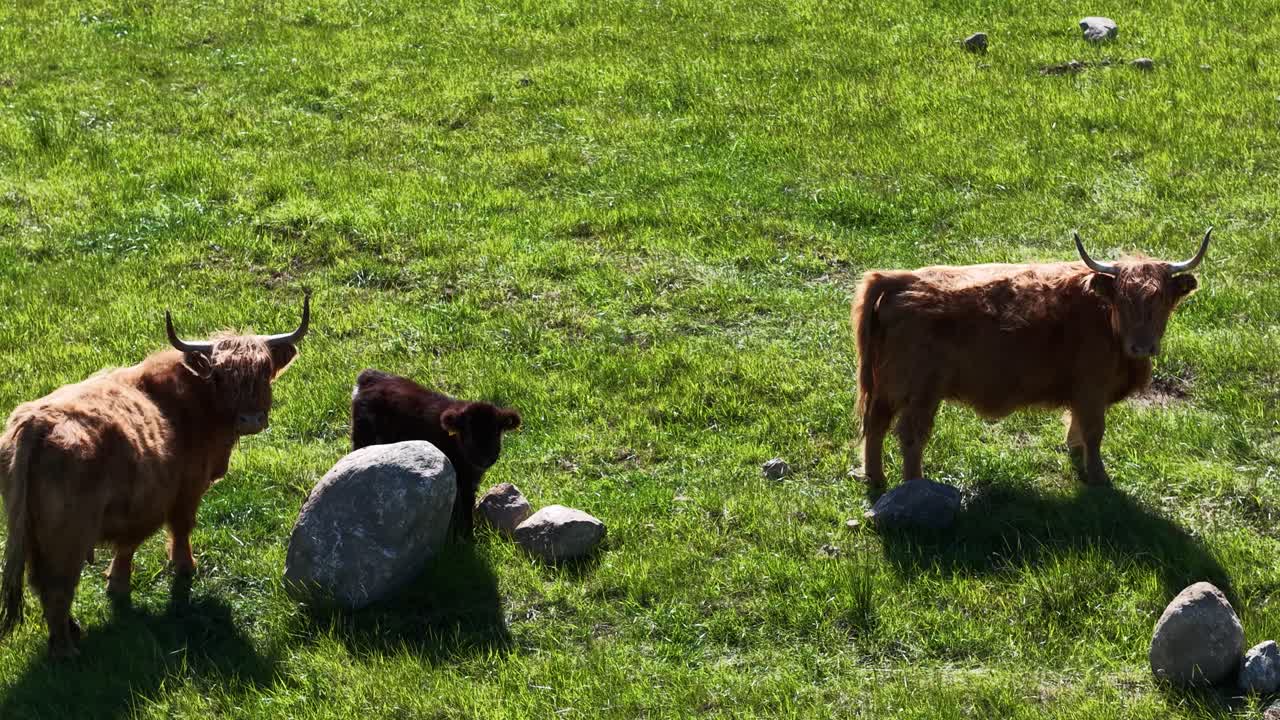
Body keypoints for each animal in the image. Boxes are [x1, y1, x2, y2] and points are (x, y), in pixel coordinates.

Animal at [0, 294, 310, 658]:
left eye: (264, 372)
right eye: (220, 377)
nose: (250, 419)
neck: (194, 402)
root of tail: (36, 422)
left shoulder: (140, 504)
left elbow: (128, 544)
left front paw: (117, 584)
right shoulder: (186, 488)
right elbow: (180, 527)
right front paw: (185, 566)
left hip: (32, 530)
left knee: (41, 583)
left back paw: (71, 633)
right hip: (67, 535)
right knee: (58, 588)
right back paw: (66, 650)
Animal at [350, 369, 521, 539]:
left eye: (497, 433)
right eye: (469, 434)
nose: (485, 459)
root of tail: (370, 376)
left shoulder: (470, 480)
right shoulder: (460, 477)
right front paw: (465, 537)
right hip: (363, 438)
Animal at [852, 230, 1211, 492]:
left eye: (1163, 299)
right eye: (1122, 300)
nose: (1142, 346)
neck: (1106, 320)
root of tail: (899, 279)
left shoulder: (1082, 391)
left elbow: (1077, 426)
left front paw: (1076, 454)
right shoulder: (1092, 388)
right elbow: (1095, 431)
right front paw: (1099, 479)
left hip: (888, 385)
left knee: (876, 424)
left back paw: (876, 479)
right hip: (921, 390)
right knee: (911, 433)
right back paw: (915, 486)